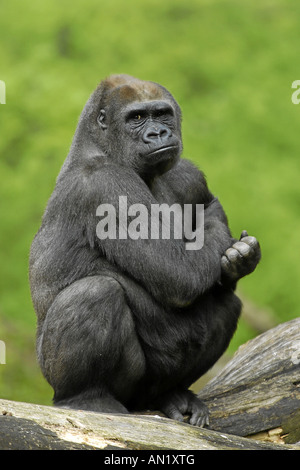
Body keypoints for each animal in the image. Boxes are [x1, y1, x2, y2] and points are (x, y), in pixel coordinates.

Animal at [29, 73, 260, 426]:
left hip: (150, 391)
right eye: (136, 118)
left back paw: (174, 394)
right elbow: (181, 274)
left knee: (227, 303)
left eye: (162, 115)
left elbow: (207, 208)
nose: (158, 134)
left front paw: (240, 259)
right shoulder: (107, 185)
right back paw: (84, 397)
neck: (100, 146)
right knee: (96, 292)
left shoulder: (187, 174)